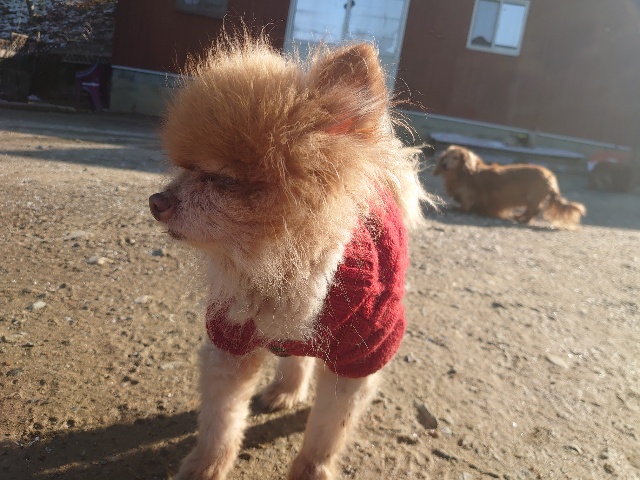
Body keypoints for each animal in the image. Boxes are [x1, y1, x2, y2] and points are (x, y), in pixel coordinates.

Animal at [148, 34, 429, 480]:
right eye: (182, 169)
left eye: (222, 179)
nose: (156, 202)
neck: (283, 266)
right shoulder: (230, 340)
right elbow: (221, 418)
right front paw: (207, 465)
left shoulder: (361, 354)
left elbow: (328, 430)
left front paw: (312, 469)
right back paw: (285, 389)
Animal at [433, 145, 586, 228]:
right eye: (445, 157)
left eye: (456, 158)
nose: (444, 165)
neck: (464, 174)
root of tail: (550, 177)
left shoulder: (469, 196)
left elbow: (466, 206)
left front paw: (458, 209)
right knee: (531, 211)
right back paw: (519, 217)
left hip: (533, 197)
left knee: (533, 211)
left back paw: (522, 220)